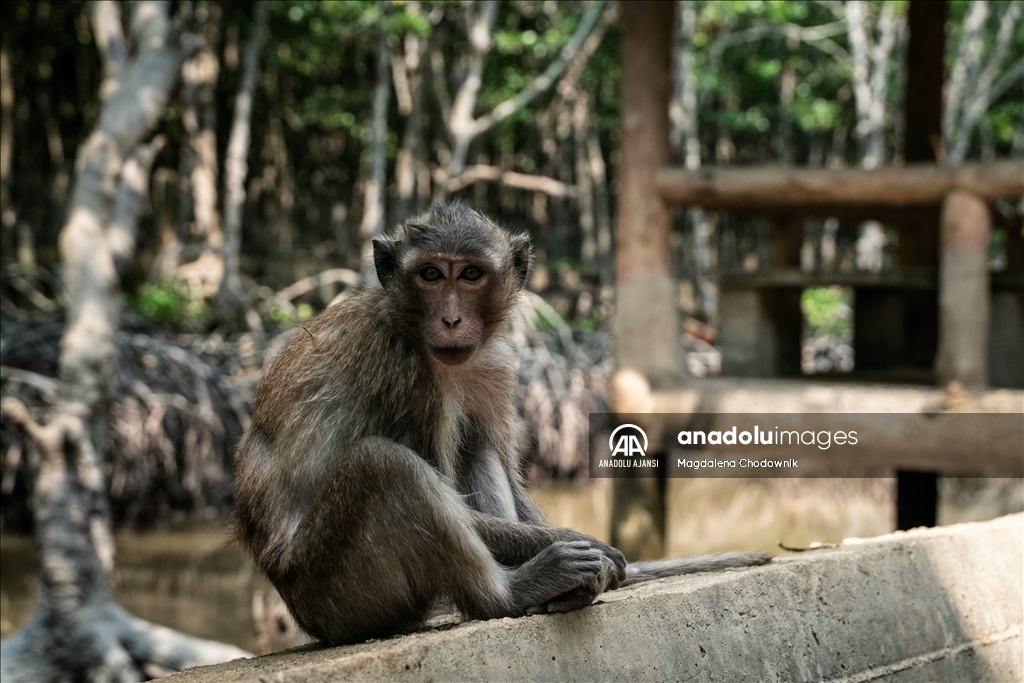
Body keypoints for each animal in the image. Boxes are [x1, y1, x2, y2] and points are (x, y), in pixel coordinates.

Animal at [230, 202, 770, 647]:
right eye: (430, 274)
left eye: (470, 274)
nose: (450, 320)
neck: (413, 331)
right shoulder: (403, 373)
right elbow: (435, 481)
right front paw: (588, 547)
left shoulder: (493, 365)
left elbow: (500, 466)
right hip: (333, 590)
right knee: (384, 465)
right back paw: (509, 593)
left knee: (473, 445)